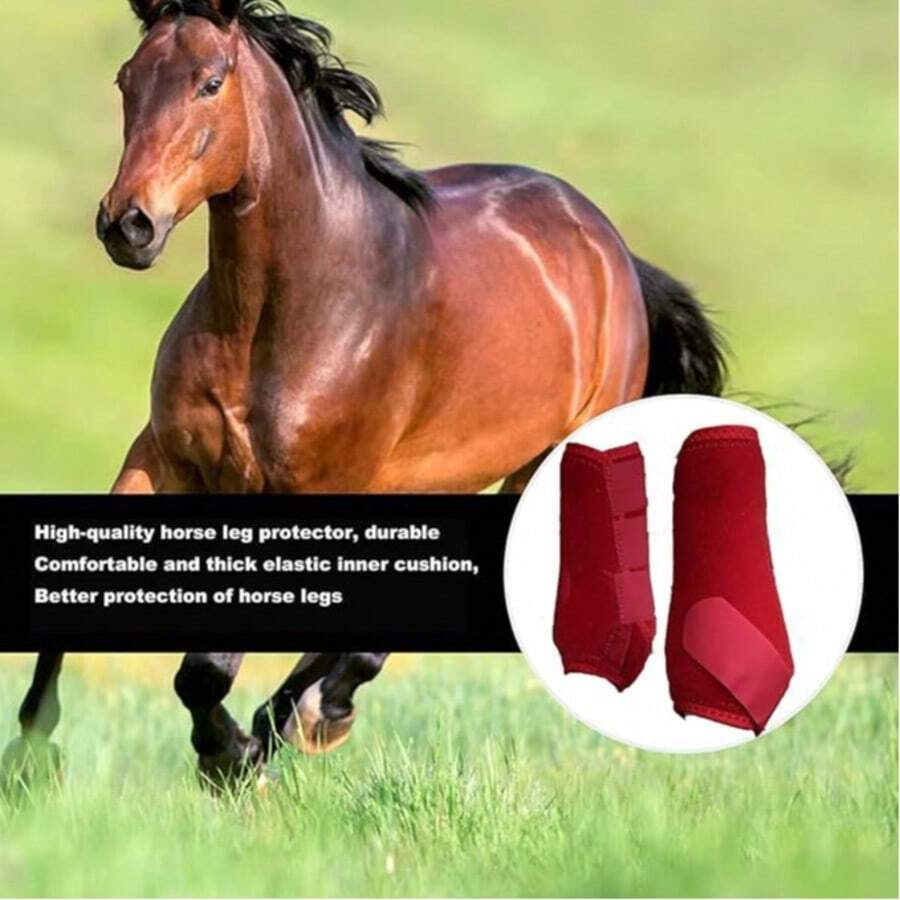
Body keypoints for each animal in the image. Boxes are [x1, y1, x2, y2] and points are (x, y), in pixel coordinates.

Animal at [3, 0, 725, 788]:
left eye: (210, 82)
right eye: (127, 79)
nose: (127, 225)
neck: (282, 312)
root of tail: (611, 251)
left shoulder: (308, 489)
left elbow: (206, 670)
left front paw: (227, 755)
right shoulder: (166, 458)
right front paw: (30, 759)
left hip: (535, 467)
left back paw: (308, 717)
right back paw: (294, 719)